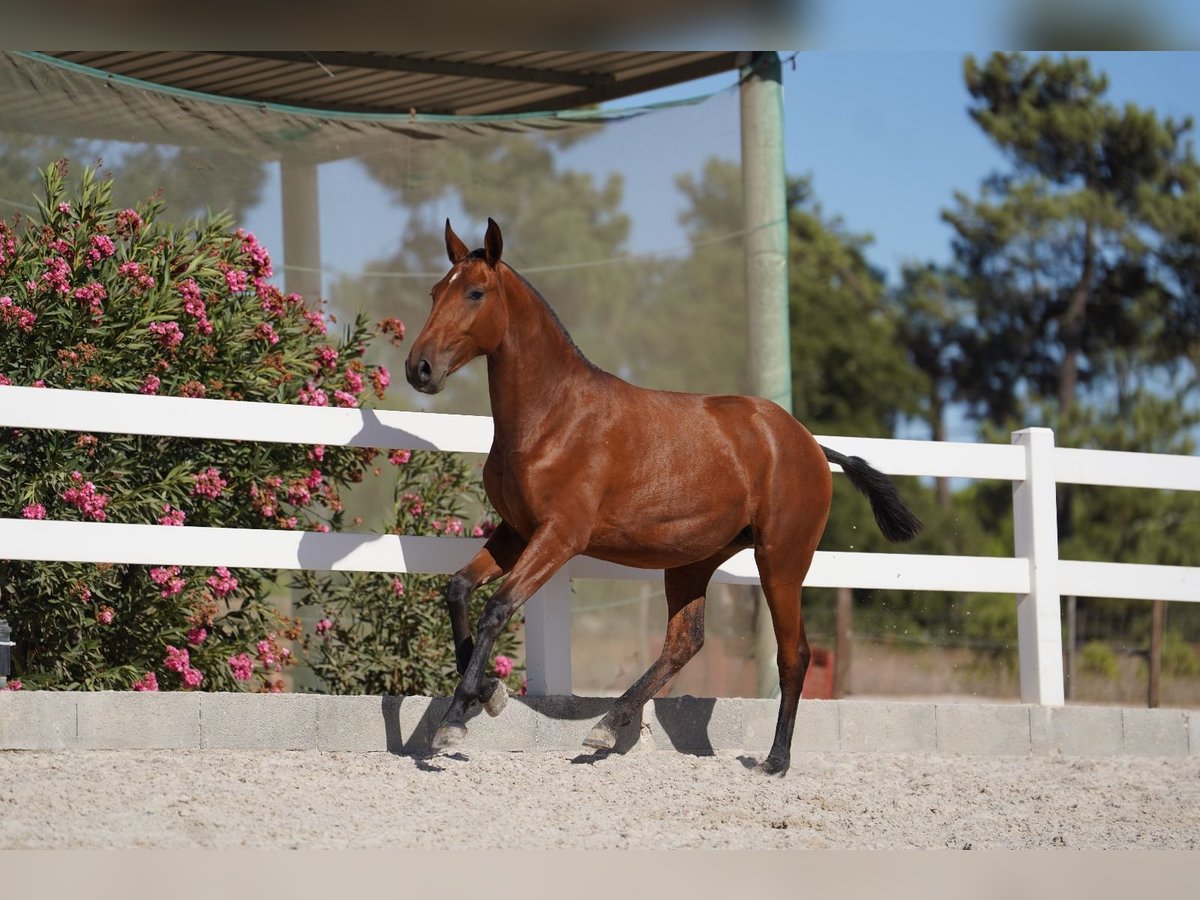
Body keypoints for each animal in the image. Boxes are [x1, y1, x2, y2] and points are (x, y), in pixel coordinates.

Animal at [403, 218, 916, 777]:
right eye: (435, 292)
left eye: (475, 292)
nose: (419, 369)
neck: (553, 418)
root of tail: (809, 444)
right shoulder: (517, 532)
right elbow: (458, 589)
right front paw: (487, 695)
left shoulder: (560, 536)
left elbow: (497, 607)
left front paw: (455, 719)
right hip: (693, 562)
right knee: (684, 642)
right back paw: (606, 727)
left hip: (781, 559)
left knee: (793, 654)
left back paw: (774, 761)